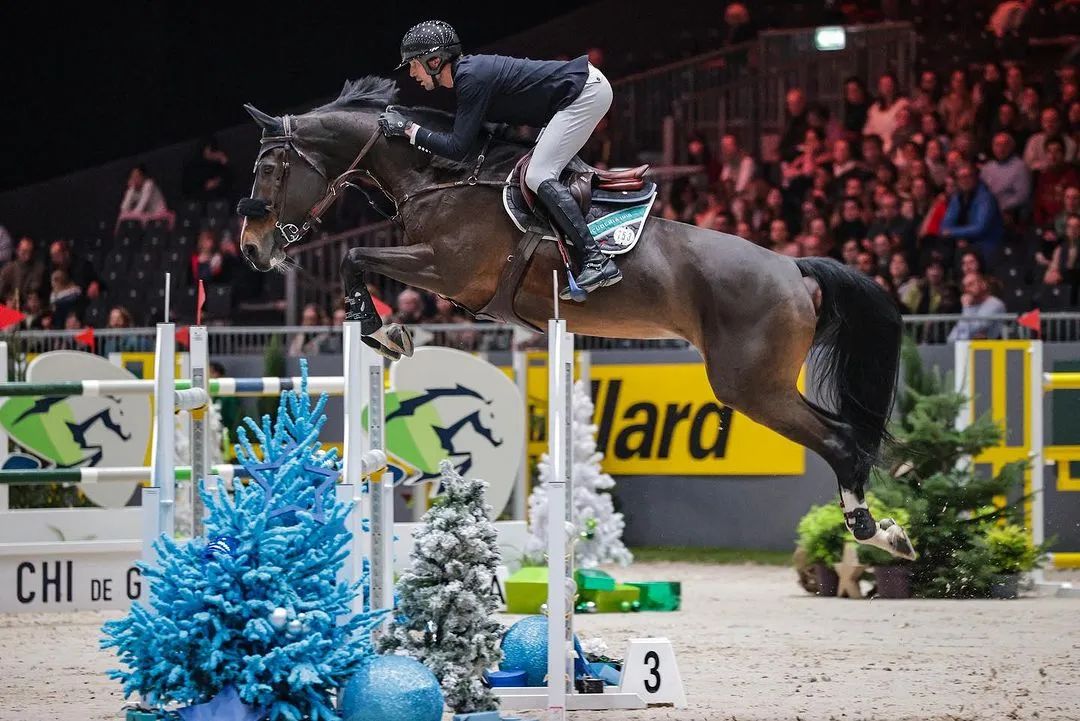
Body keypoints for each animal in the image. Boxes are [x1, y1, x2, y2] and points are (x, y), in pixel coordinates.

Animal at [237, 77, 915, 560]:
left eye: (268, 169)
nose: (251, 250)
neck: (438, 177)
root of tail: (795, 269)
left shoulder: (448, 272)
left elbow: (353, 256)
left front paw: (385, 329)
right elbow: (357, 258)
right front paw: (385, 329)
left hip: (752, 386)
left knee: (841, 441)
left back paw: (877, 532)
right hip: (763, 385)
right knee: (846, 436)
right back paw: (881, 530)